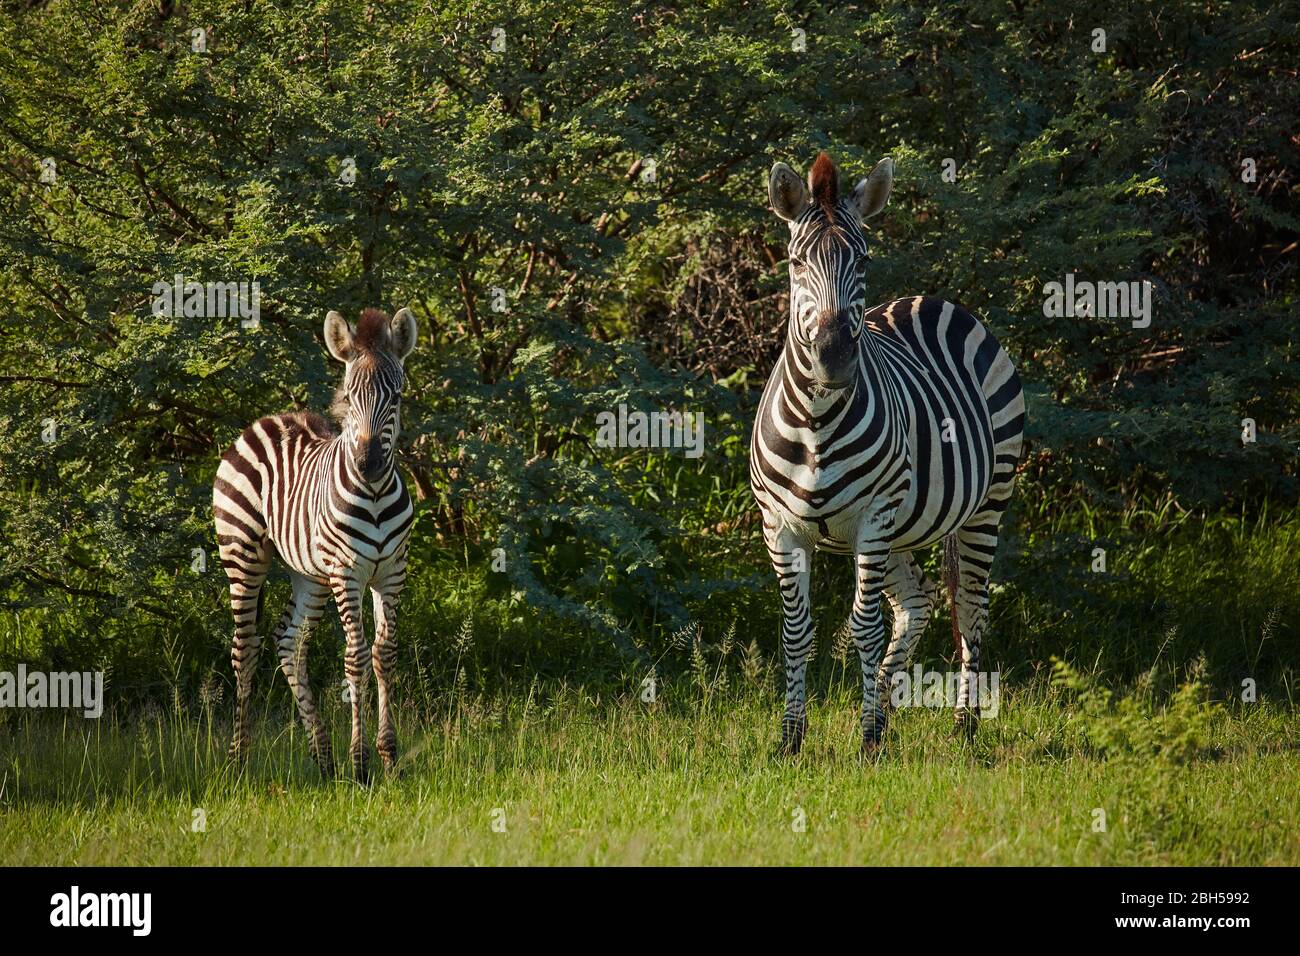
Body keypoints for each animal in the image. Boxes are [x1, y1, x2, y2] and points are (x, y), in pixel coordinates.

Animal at [213, 308, 416, 785]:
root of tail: (268, 419)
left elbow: (384, 654)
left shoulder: (391, 573)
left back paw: (323, 758)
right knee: (245, 649)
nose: (369, 464)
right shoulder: (348, 572)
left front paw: (389, 757)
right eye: (350, 396)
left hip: (309, 575)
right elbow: (356, 657)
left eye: (397, 396)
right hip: (242, 553)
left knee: (289, 643)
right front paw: (361, 765)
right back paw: (237, 760)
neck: (374, 494)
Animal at [754, 155, 1024, 754]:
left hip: (985, 504)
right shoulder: (780, 527)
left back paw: (963, 728)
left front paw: (863, 744)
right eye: (795, 262)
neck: (817, 420)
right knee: (919, 599)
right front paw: (791, 741)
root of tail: (931, 299)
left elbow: (864, 627)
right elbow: (795, 631)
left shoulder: (872, 518)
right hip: (901, 525)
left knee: (970, 608)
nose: (833, 357)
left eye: (863, 259)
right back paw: (885, 718)